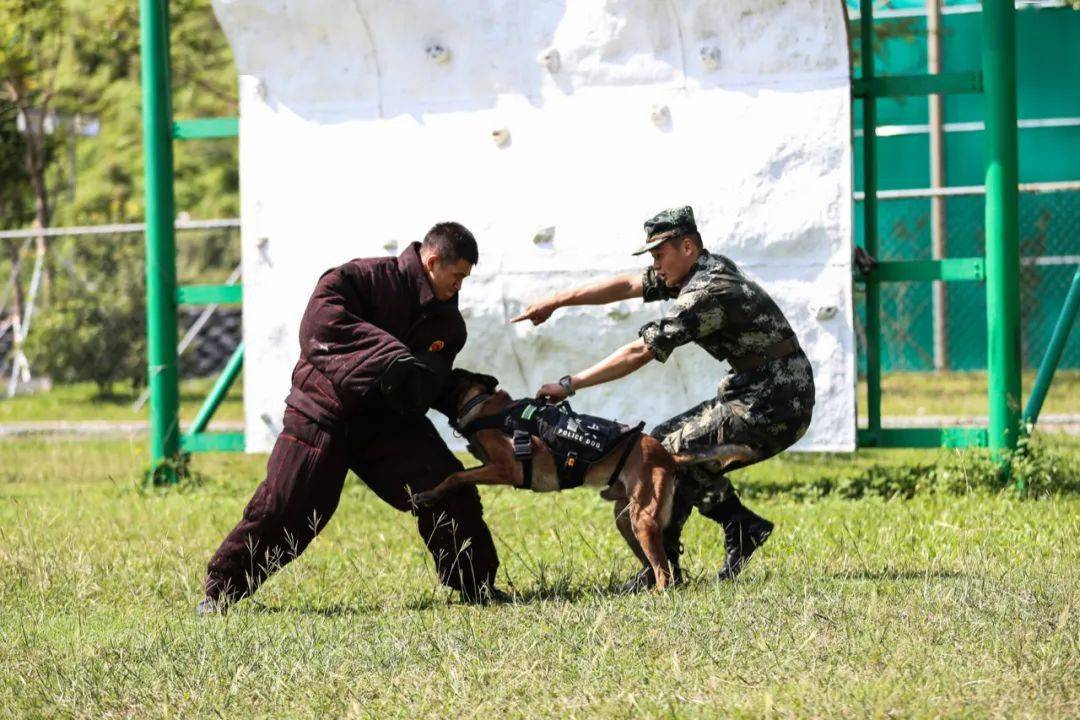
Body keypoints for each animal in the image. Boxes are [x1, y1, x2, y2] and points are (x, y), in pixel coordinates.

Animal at [410, 371, 673, 591]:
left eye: (448, 376)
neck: (482, 404)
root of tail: (666, 455)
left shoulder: (507, 468)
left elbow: (456, 475)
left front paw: (428, 495)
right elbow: (462, 475)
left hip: (642, 520)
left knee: (664, 571)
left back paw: (657, 594)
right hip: (626, 518)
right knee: (652, 562)